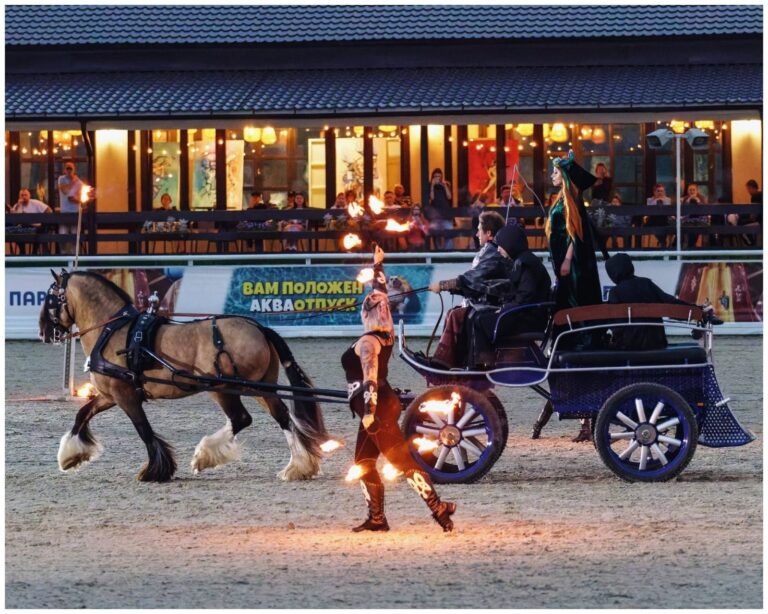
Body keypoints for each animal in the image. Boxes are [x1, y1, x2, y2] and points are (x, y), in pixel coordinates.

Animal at [39, 269, 329, 483]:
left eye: (50, 297)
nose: (43, 332)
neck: (114, 330)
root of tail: (258, 327)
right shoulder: (111, 394)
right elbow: (82, 415)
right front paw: (70, 457)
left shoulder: (125, 395)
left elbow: (144, 430)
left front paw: (155, 471)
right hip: (259, 386)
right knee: (280, 417)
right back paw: (298, 466)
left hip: (223, 387)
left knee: (242, 418)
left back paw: (206, 456)